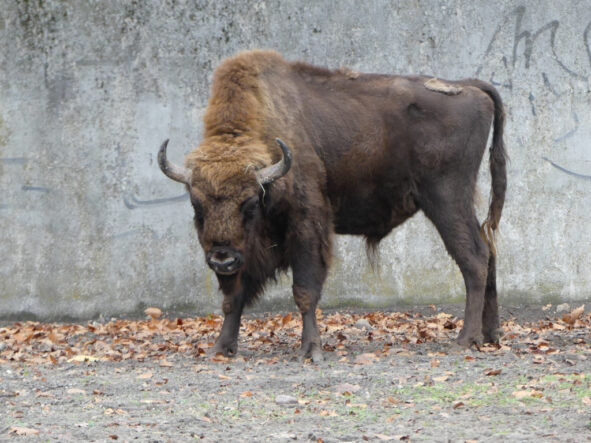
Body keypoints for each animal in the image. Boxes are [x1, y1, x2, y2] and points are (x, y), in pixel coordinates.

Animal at [158, 50, 508, 362]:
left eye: (250, 203)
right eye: (196, 205)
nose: (222, 258)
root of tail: (470, 87)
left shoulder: (306, 225)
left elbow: (304, 290)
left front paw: (311, 350)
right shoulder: (248, 250)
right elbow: (234, 297)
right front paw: (221, 349)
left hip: (446, 198)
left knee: (474, 257)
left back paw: (465, 339)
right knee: (489, 252)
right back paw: (490, 335)